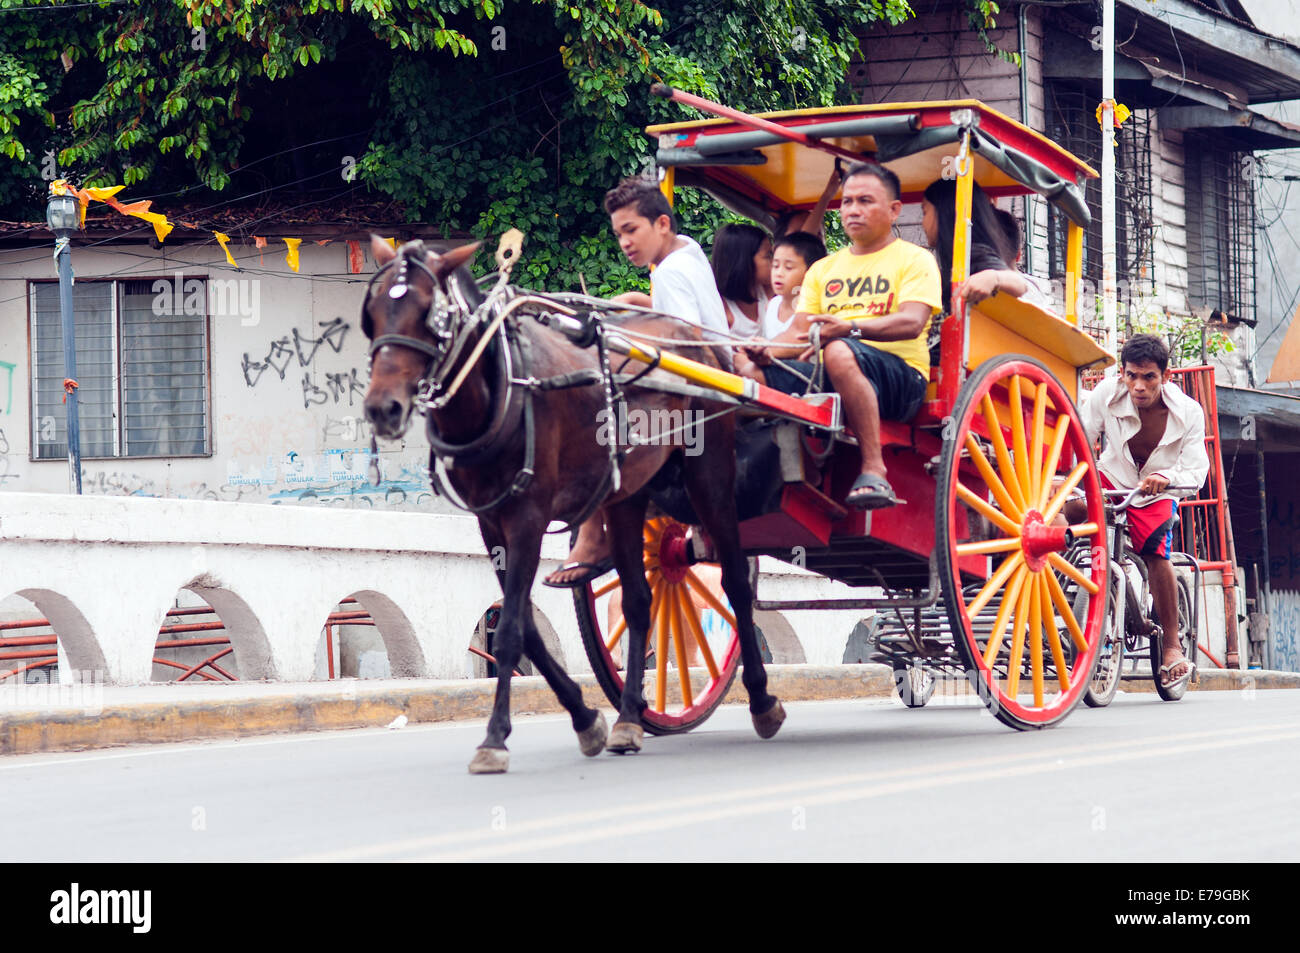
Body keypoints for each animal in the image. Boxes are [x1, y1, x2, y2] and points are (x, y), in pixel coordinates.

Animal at [358, 234, 780, 769]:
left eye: (431, 315)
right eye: (372, 313)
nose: (383, 408)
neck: (504, 388)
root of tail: (698, 342)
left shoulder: (529, 516)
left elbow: (511, 629)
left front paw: (494, 738)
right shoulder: (490, 522)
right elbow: (524, 628)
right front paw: (586, 718)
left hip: (710, 475)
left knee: (736, 583)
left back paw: (762, 700)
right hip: (628, 493)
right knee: (640, 599)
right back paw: (629, 718)